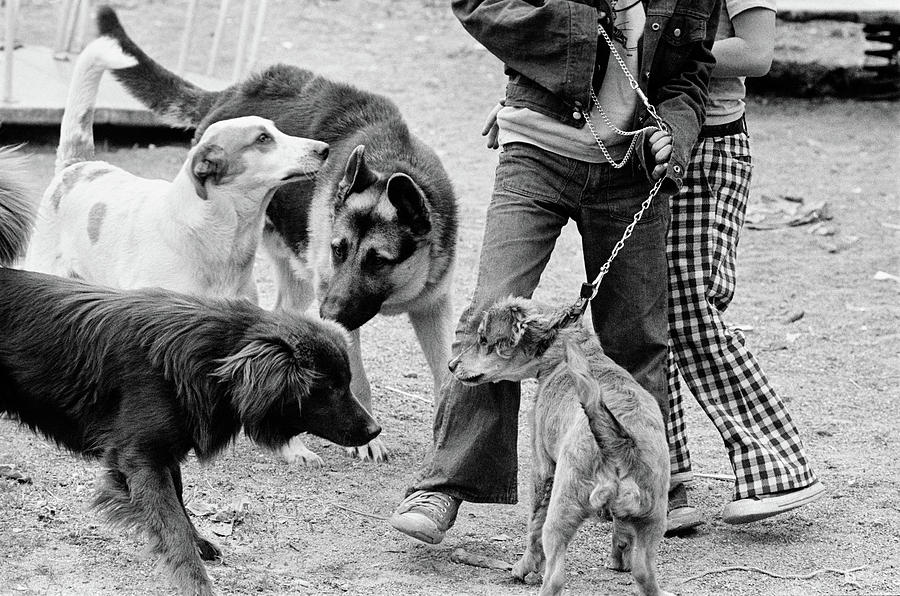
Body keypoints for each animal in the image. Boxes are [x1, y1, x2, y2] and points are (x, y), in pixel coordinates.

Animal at [0, 150, 380, 596]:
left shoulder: (165, 448)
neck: (206, 360)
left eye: (346, 383)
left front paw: (200, 543)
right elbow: (171, 524)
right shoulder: (140, 457)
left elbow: (180, 503)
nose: (374, 430)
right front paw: (194, 579)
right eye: (328, 388)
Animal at [99, 5, 460, 466]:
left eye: (378, 260)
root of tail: (229, 94)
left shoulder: (433, 306)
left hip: (300, 282)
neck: (393, 162)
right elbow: (359, 378)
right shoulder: (335, 296)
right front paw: (368, 438)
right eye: (338, 250)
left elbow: (446, 374)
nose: (327, 314)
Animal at [450, 298, 676, 596]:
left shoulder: (542, 467)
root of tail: (620, 447)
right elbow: (622, 533)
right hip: (653, 523)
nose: (452, 365)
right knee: (644, 573)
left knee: (554, 574)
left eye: (483, 339)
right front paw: (618, 558)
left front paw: (523, 567)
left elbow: (533, 527)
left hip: (561, 510)